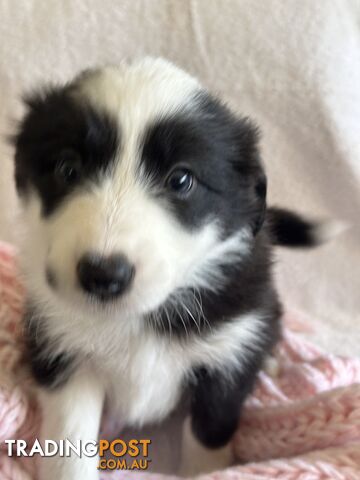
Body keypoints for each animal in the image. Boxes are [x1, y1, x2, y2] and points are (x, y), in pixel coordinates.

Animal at [12, 57, 322, 480]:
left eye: (181, 180)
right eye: (67, 169)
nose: (103, 276)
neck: (137, 317)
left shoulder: (226, 355)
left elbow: (210, 430)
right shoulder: (63, 349)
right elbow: (69, 442)